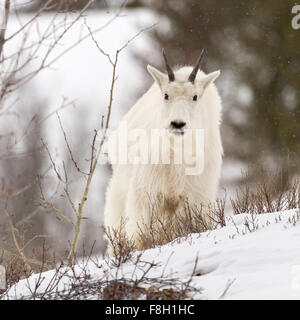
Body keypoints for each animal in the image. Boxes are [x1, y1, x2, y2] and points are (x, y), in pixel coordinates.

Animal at [103, 48, 223, 254]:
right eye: (166, 95)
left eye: (195, 96)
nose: (177, 124)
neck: (177, 153)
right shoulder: (148, 192)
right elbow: (142, 232)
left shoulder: (193, 195)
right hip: (120, 190)